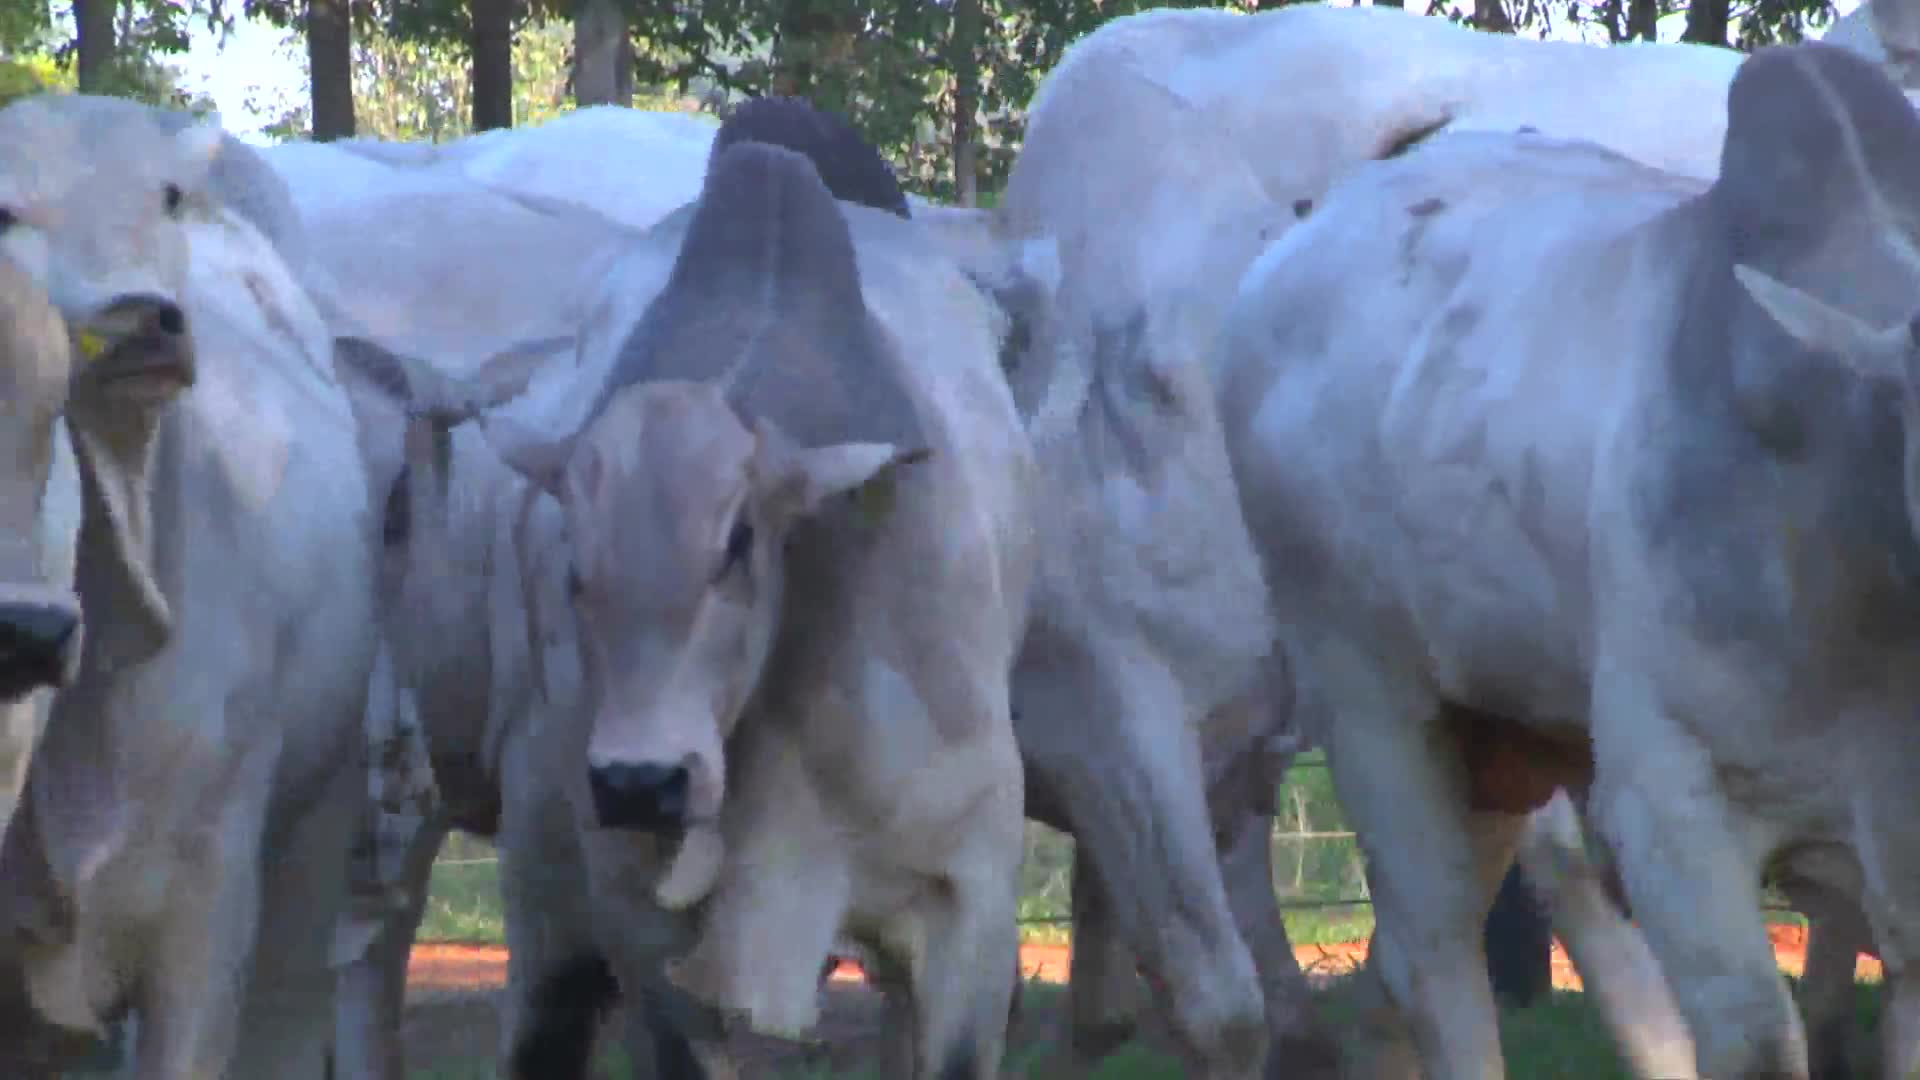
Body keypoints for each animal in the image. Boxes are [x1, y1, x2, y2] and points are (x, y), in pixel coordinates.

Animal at [1221, 39, 1920, 1076]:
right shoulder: (1672, 803)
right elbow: (1754, 1033)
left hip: (1492, 746)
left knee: (1398, 975)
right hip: (1368, 702)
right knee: (1438, 954)